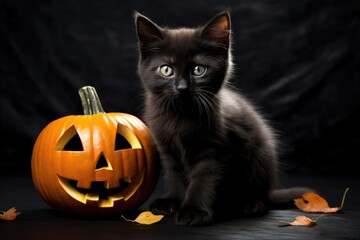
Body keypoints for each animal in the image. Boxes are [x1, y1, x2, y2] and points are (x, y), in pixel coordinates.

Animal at [134, 10, 310, 225]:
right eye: (166, 70)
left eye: (198, 70)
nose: (182, 87)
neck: (181, 116)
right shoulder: (168, 150)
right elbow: (174, 176)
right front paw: (172, 202)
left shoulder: (215, 151)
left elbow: (204, 180)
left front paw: (194, 211)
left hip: (259, 159)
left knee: (260, 198)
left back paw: (247, 204)